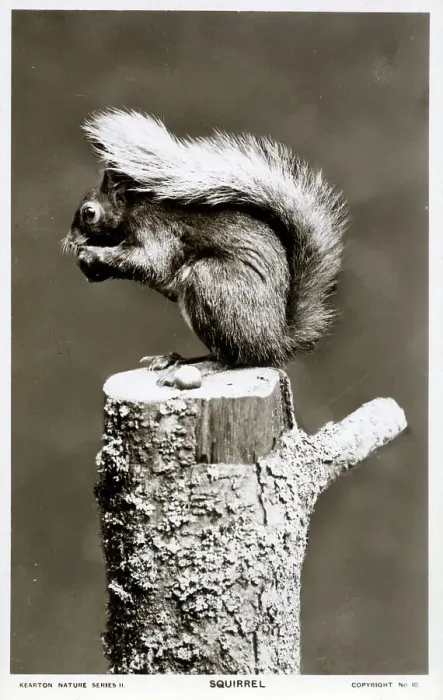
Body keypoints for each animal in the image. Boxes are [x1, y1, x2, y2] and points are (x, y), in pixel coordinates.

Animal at [63, 109, 348, 374]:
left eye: (89, 213)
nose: (69, 241)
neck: (134, 208)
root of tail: (275, 343)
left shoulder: (157, 231)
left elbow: (150, 263)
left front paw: (91, 254)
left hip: (210, 283)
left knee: (234, 358)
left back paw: (201, 364)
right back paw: (173, 359)